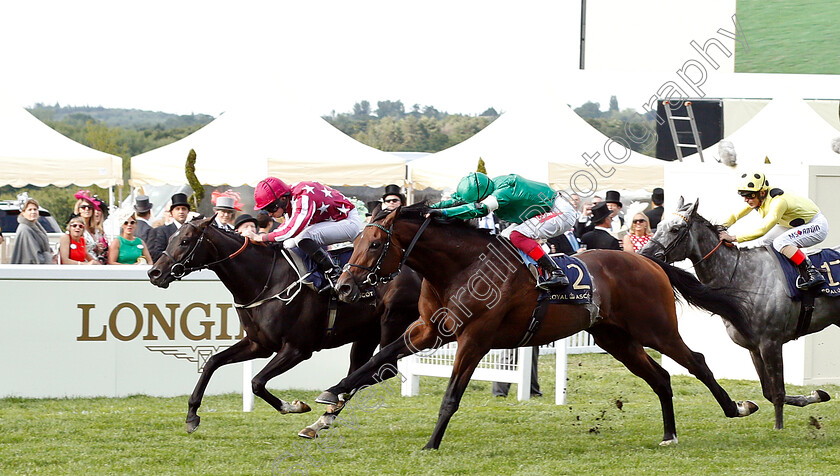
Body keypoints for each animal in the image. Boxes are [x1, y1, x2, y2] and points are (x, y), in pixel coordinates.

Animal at [148, 218, 424, 434]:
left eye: (185, 241)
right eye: (171, 238)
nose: (154, 273)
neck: (265, 280)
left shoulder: (297, 349)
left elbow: (257, 382)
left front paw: (293, 406)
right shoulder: (258, 344)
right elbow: (213, 362)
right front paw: (192, 416)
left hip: (392, 322)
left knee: (384, 369)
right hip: (366, 334)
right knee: (361, 370)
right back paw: (322, 418)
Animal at [312, 205, 756, 450]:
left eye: (374, 244)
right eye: (354, 242)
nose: (344, 286)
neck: (460, 269)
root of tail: (648, 259)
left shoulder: (475, 338)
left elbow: (451, 396)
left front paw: (430, 444)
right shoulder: (427, 331)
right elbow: (375, 364)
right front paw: (326, 404)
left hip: (655, 328)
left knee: (696, 362)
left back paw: (736, 407)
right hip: (616, 338)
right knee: (661, 377)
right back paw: (669, 435)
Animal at [644, 199, 832, 430]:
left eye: (675, 229)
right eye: (659, 226)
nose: (645, 253)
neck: (742, 276)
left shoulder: (771, 342)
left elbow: (778, 392)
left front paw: (778, 428)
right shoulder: (754, 348)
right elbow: (769, 392)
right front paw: (816, 394)